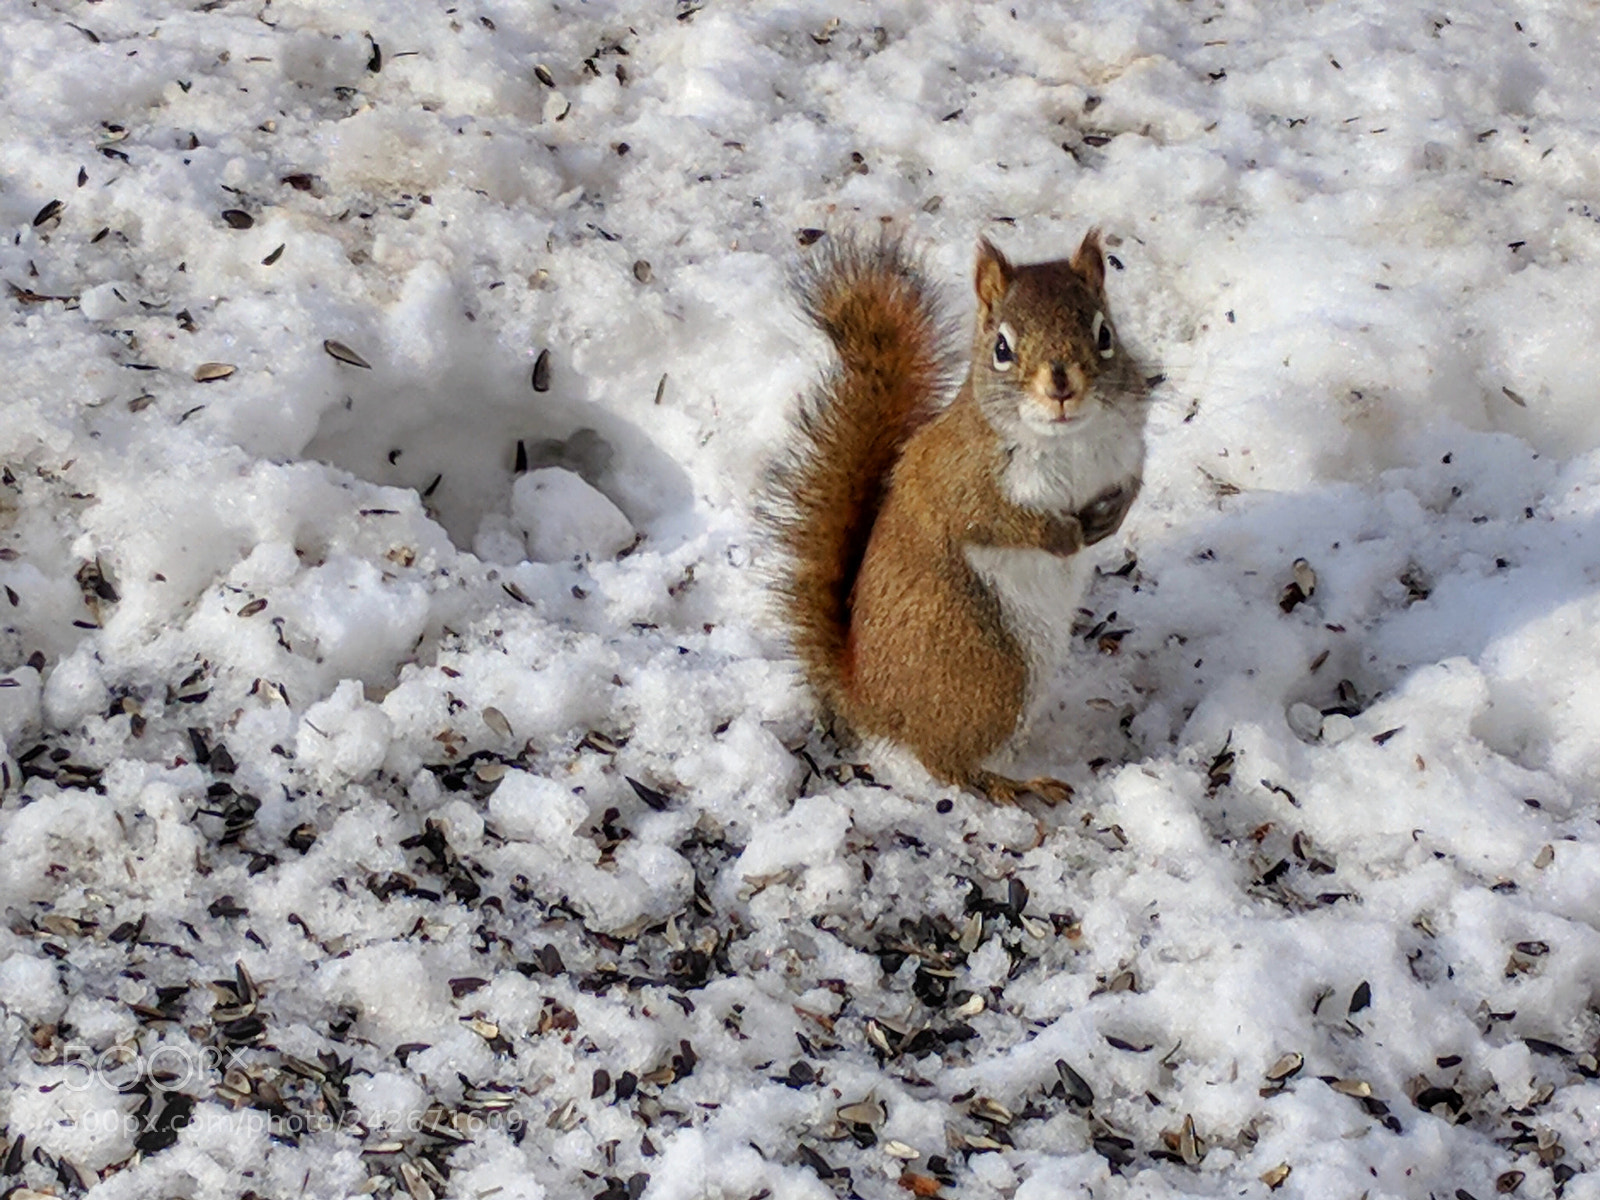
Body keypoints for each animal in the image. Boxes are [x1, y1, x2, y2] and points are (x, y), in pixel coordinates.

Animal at [764, 230, 1148, 804]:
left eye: (1105, 334)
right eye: (1002, 349)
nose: (1061, 386)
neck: (1069, 440)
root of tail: (870, 702)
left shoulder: (1126, 449)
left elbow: (1132, 485)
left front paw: (1111, 518)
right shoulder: (957, 482)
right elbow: (991, 522)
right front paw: (1061, 534)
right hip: (987, 671)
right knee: (944, 760)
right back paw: (1012, 784)